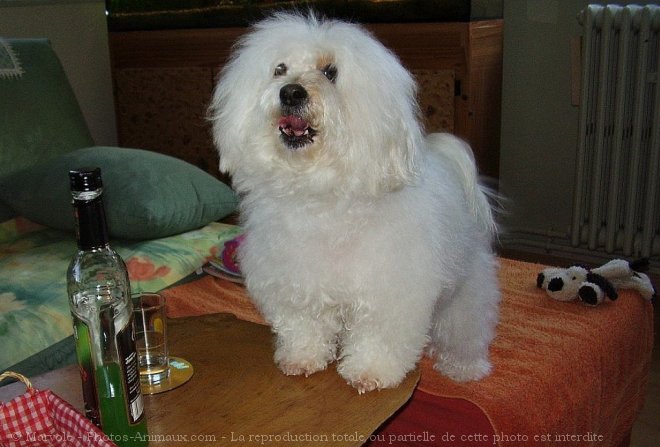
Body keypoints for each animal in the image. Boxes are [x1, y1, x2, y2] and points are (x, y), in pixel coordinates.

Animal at [211, 12, 500, 394]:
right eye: (279, 69)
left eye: (331, 72)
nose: (291, 91)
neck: (321, 196)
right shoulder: (293, 282)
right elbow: (303, 325)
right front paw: (302, 358)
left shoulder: (390, 290)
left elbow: (378, 337)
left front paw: (369, 371)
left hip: (465, 288)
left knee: (467, 329)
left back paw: (465, 368)